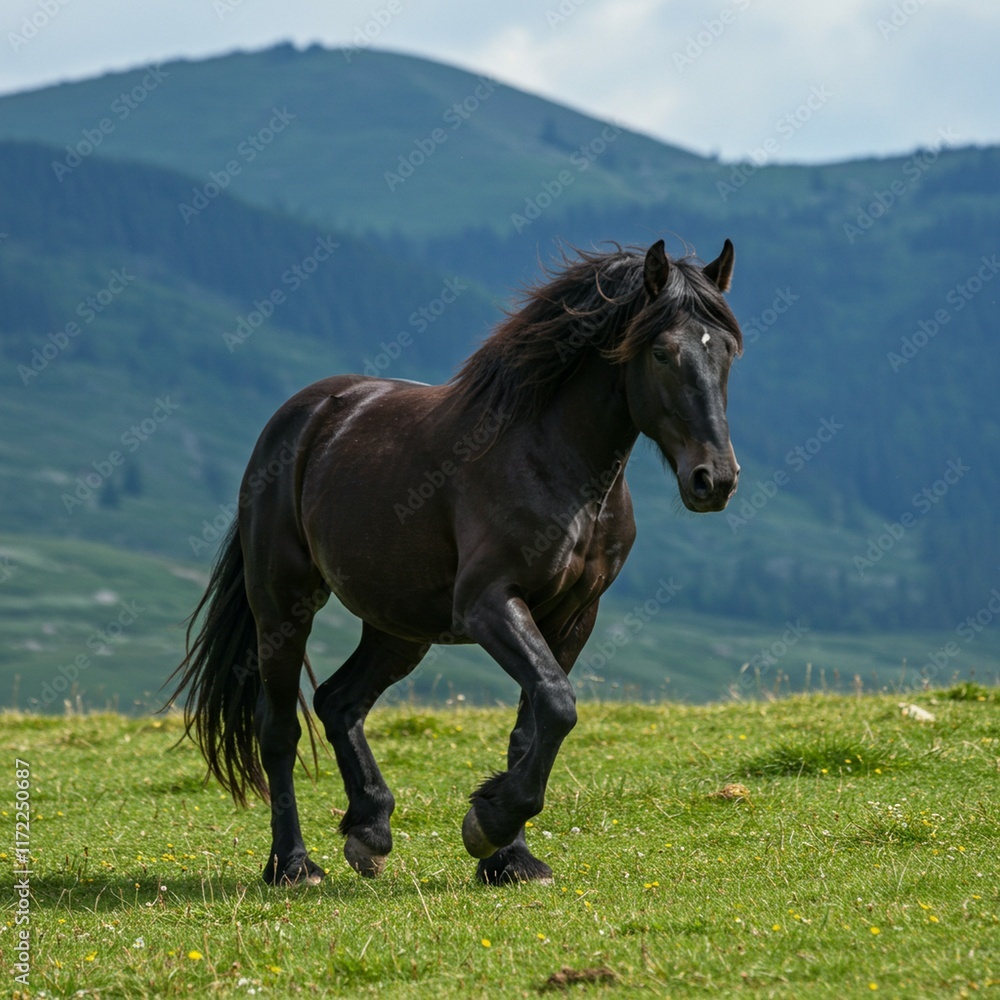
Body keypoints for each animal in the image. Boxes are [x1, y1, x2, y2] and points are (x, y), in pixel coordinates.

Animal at [167, 237, 744, 887]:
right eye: (663, 352)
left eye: (726, 351)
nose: (715, 480)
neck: (555, 462)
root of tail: (302, 416)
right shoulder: (489, 603)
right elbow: (557, 703)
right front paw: (488, 824)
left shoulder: (573, 615)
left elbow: (534, 721)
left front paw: (510, 858)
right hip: (283, 605)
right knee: (280, 729)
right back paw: (292, 864)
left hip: (399, 626)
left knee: (339, 702)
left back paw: (370, 828)